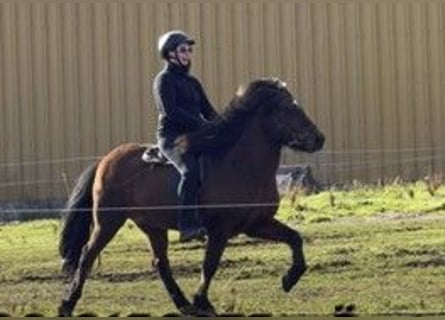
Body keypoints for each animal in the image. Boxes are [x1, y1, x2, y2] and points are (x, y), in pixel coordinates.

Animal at [57, 77, 324, 316]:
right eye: (286, 108)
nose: (318, 138)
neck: (239, 164)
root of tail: (106, 159)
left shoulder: (257, 224)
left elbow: (295, 238)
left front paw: (290, 279)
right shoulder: (220, 229)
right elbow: (210, 264)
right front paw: (202, 302)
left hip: (152, 226)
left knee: (160, 263)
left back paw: (183, 305)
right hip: (108, 221)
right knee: (87, 255)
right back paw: (67, 304)